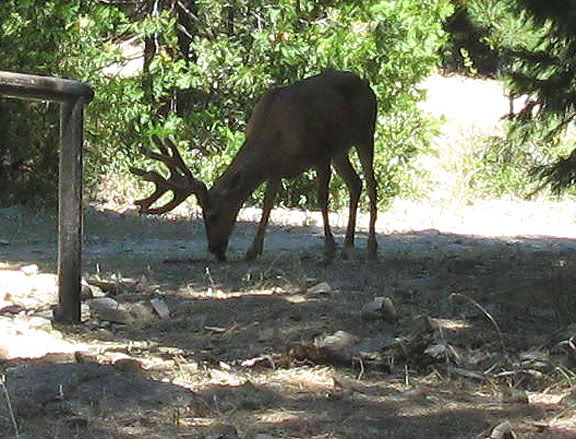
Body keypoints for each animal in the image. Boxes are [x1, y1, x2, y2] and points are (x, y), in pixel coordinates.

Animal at [133, 69, 380, 262]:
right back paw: (349, 245)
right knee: (355, 183)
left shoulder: (320, 154)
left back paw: (370, 247)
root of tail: (367, 85)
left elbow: (321, 199)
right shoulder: (276, 168)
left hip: (364, 133)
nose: (214, 249)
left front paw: (329, 248)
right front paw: (253, 250)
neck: (274, 135)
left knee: (371, 183)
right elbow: (267, 205)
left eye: (212, 215)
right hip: (341, 151)